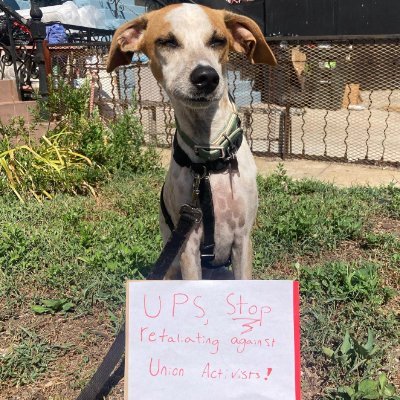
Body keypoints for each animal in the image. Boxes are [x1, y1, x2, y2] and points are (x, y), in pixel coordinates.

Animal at [105, 3, 276, 280]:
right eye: (167, 41)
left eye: (218, 40)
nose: (206, 77)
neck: (209, 160)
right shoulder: (189, 247)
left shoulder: (243, 239)